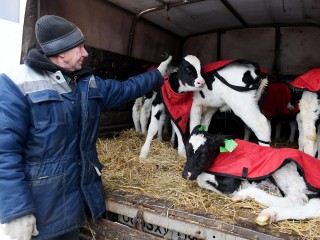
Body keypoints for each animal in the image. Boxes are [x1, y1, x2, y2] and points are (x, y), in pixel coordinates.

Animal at [182, 125, 320, 225]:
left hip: (286, 173)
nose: (185, 174)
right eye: (187, 150)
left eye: (204, 154)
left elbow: (201, 179)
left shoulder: (231, 184)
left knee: (295, 200)